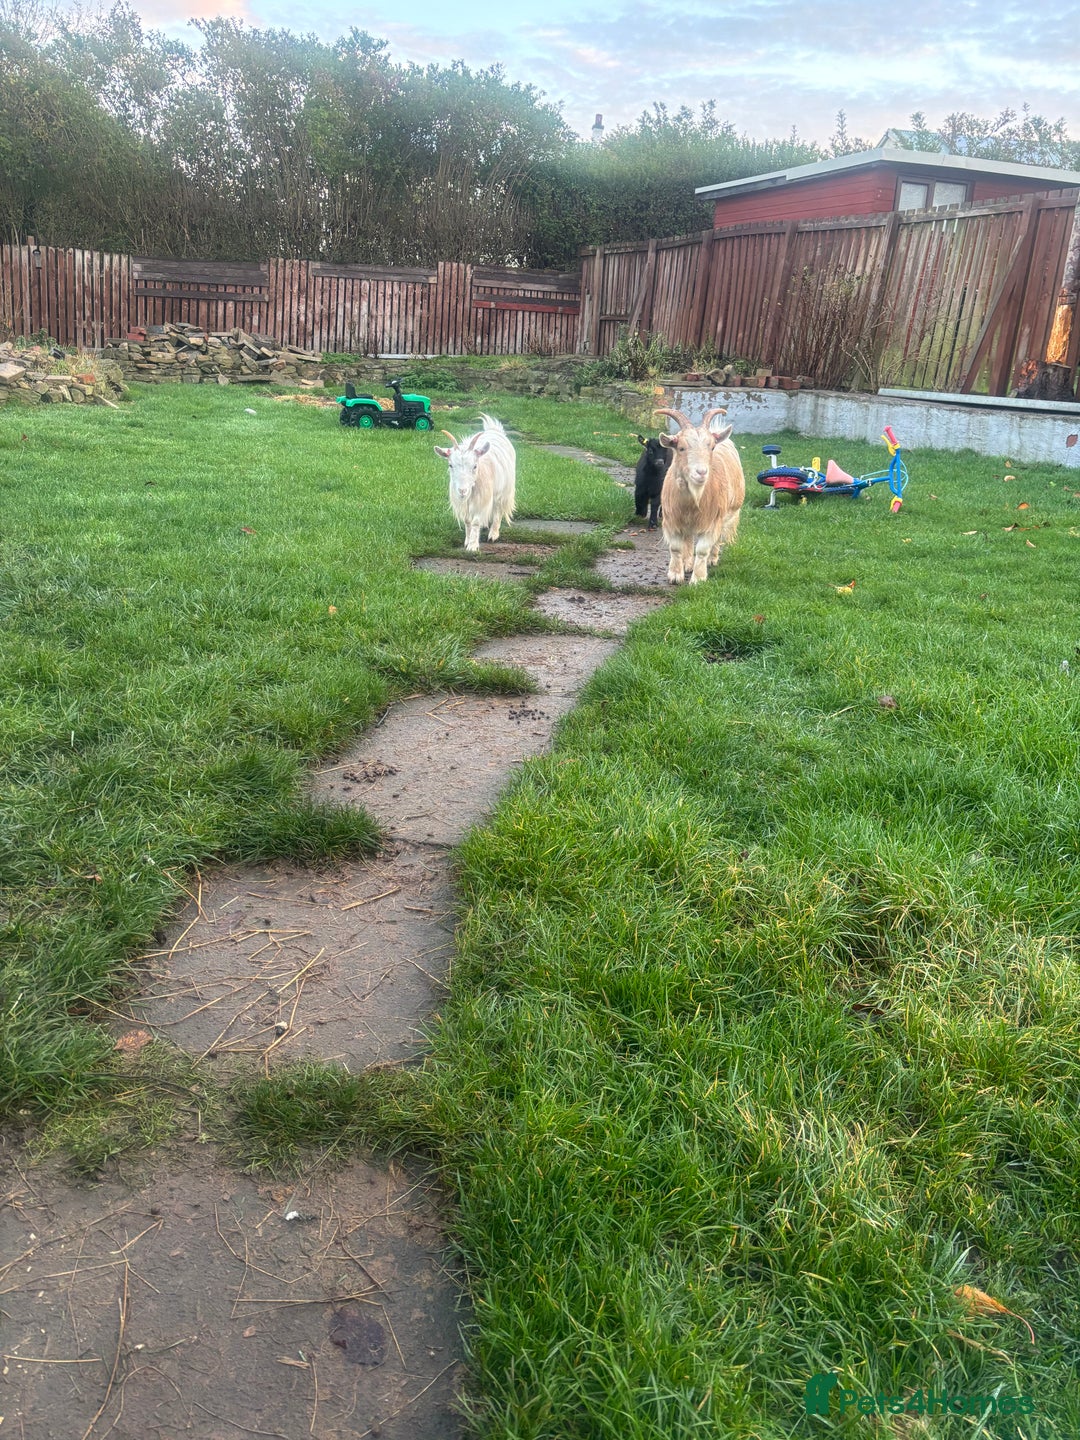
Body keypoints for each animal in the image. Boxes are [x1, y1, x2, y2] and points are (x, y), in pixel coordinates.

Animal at [434, 414, 516, 552]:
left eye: (475, 466)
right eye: (450, 465)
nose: (462, 490)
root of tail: (494, 429)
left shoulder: (482, 499)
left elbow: (476, 521)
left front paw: (472, 546)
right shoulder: (463, 502)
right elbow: (468, 520)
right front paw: (467, 541)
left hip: (504, 490)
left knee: (498, 509)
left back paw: (493, 534)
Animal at [656, 406, 745, 584]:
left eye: (711, 447)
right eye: (681, 448)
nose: (701, 472)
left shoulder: (712, 520)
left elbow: (703, 549)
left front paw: (698, 579)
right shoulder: (672, 519)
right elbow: (676, 547)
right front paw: (675, 575)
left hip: (728, 513)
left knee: (718, 538)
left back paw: (712, 559)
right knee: (689, 539)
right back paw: (688, 563)